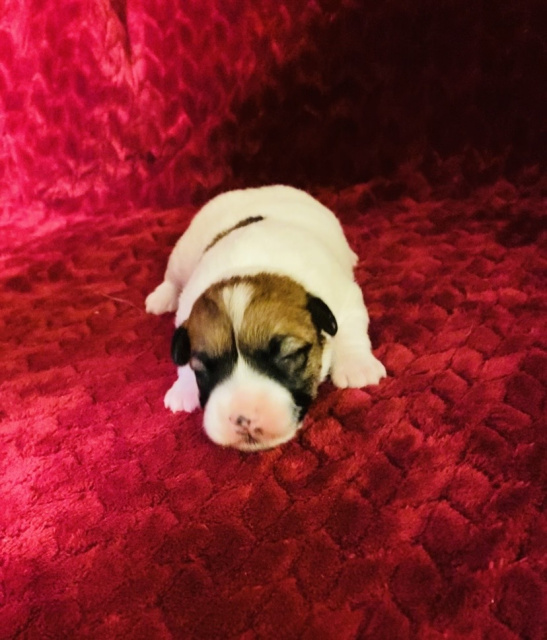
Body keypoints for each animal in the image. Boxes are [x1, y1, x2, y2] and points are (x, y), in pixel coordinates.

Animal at [146, 185, 386, 451]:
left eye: (289, 356)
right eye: (203, 368)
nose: (243, 419)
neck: (249, 266)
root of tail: (256, 189)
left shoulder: (345, 297)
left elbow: (350, 331)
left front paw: (357, 367)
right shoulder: (185, 313)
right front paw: (184, 389)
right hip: (182, 253)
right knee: (171, 278)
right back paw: (160, 298)